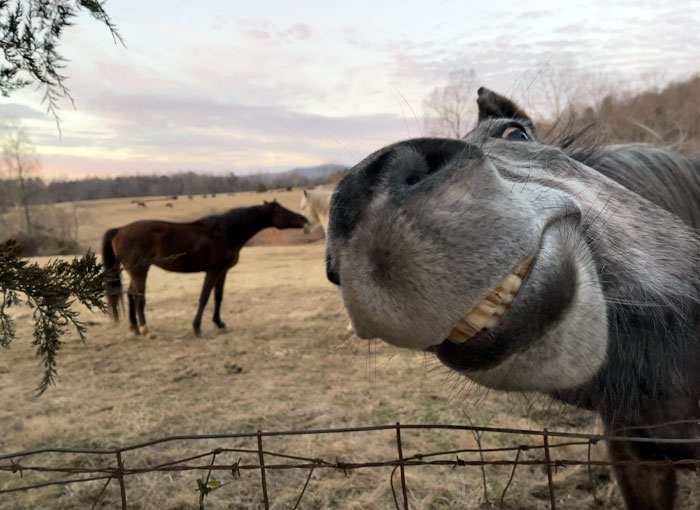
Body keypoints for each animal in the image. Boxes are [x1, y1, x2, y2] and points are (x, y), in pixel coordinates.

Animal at [102, 200, 306, 338]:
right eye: (282, 211)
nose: (304, 219)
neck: (226, 233)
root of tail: (120, 229)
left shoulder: (223, 272)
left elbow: (218, 297)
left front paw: (219, 323)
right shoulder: (213, 270)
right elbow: (204, 297)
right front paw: (197, 328)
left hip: (135, 273)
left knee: (130, 294)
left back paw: (134, 328)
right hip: (140, 272)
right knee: (138, 298)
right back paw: (146, 330)